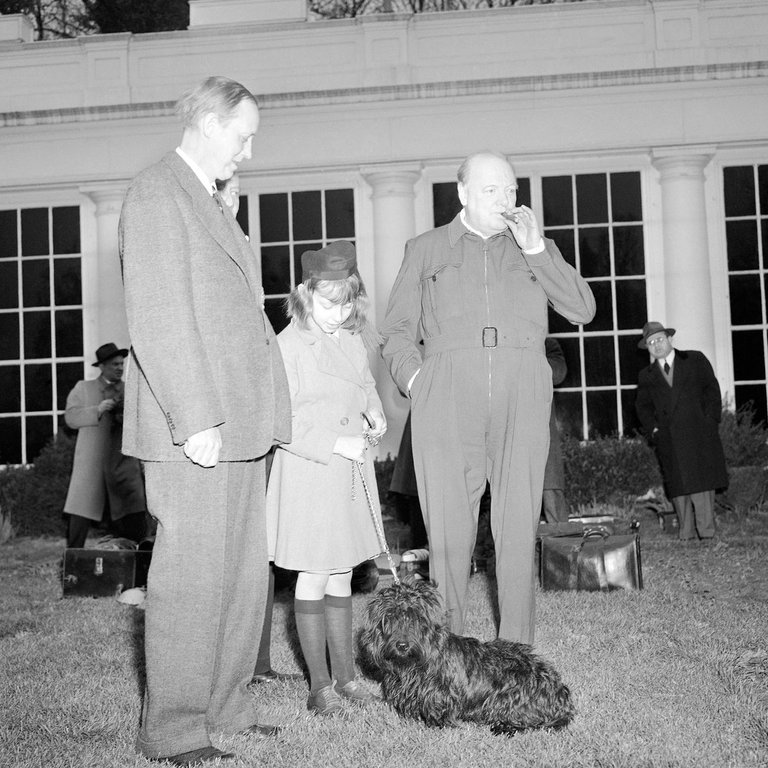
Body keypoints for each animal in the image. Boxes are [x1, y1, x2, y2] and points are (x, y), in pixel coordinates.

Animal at [356, 580, 572, 736]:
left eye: (418, 618)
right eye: (390, 617)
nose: (402, 645)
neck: (413, 663)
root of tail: (560, 693)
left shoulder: (441, 697)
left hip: (506, 699)